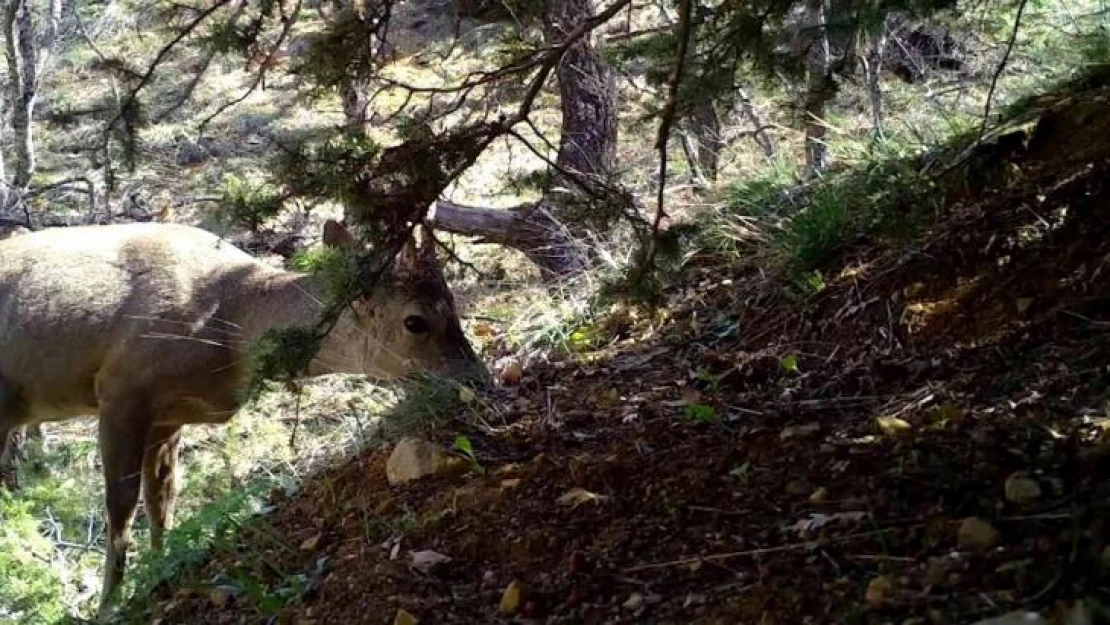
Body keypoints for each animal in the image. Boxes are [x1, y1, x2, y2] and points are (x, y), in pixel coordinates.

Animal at [0, 218, 486, 617]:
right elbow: (121, 509)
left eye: (453, 302)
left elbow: (163, 501)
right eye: (415, 322)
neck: (231, 329)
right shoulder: (121, 388)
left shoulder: (168, 416)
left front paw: (159, 573)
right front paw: (109, 606)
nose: (478, 379)